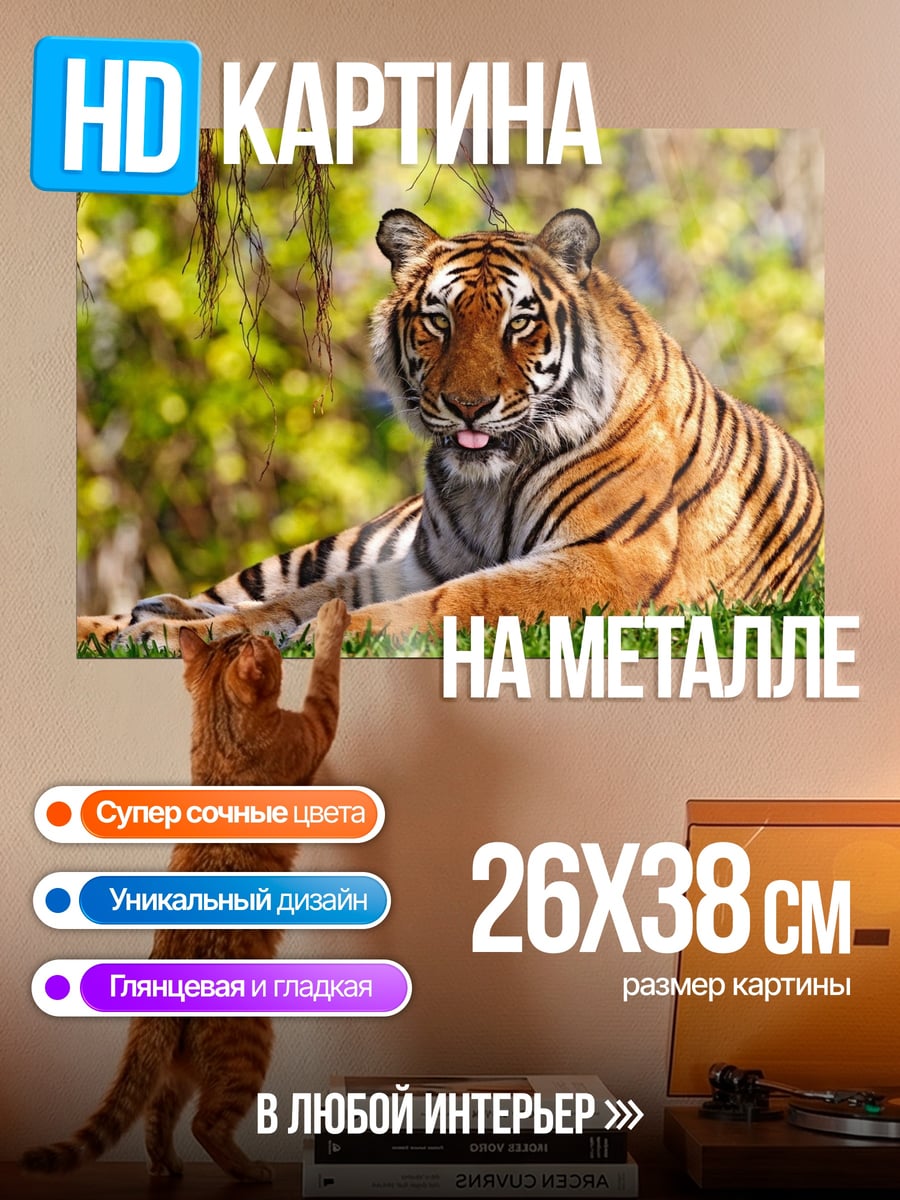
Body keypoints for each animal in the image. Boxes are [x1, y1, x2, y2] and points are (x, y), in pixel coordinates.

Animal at [76, 207, 824, 650]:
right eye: (438, 320)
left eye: (520, 322)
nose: (468, 406)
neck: (487, 484)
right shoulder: (415, 560)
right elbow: (304, 600)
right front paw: (182, 634)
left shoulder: (603, 563)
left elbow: (449, 602)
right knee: (231, 591)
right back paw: (133, 618)